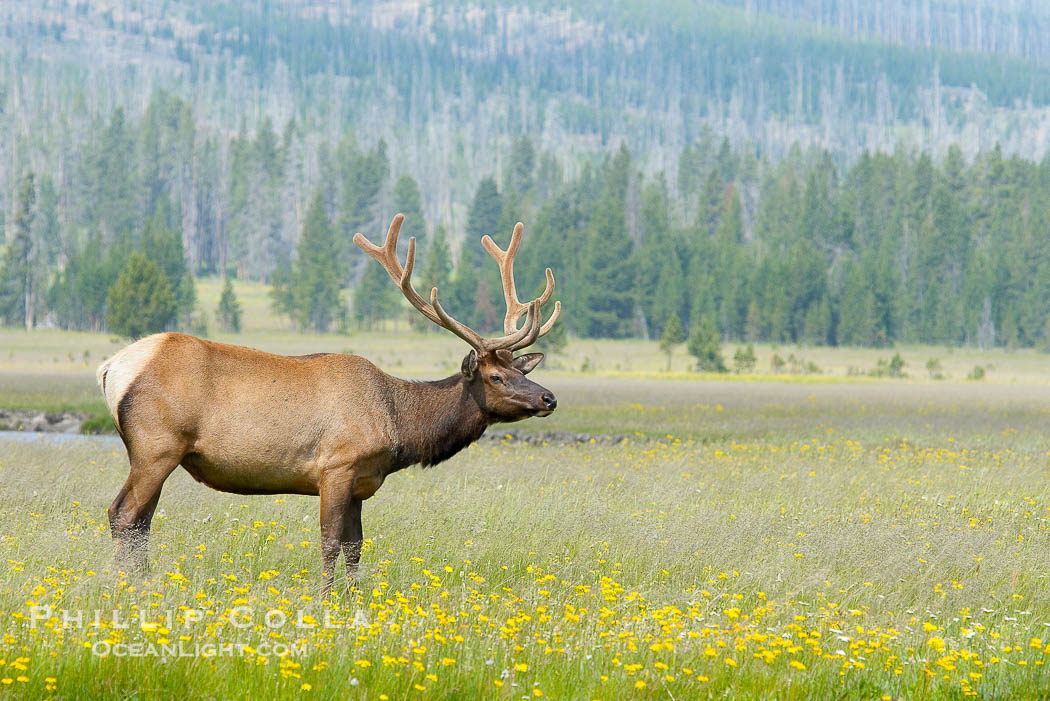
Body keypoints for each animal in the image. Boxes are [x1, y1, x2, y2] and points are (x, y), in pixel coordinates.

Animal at [96, 214, 561, 596]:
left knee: (142, 521)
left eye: (521, 369)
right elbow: (330, 541)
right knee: (123, 513)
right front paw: (323, 599)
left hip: (158, 453)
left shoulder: (361, 482)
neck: (398, 425)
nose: (548, 397)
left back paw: (142, 582)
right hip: (157, 445)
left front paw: (352, 598)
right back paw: (123, 587)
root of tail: (110, 367)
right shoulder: (336, 466)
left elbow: (356, 546)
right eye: (496, 376)